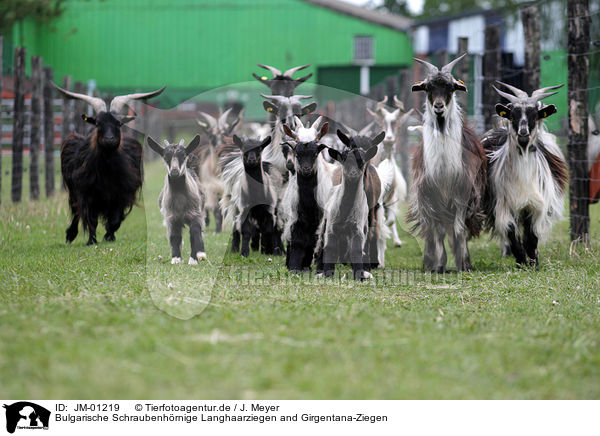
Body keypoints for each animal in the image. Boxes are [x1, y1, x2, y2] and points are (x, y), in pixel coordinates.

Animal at [52, 82, 165, 245]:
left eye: (119, 123)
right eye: (98, 123)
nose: (109, 139)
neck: (106, 169)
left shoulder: (122, 193)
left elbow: (115, 219)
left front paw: (109, 236)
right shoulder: (86, 193)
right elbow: (90, 218)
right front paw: (91, 240)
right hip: (73, 191)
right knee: (76, 211)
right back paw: (70, 234)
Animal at [146, 135, 207, 264]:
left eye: (183, 156)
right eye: (165, 157)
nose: (174, 172)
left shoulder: (196, 213)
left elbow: (195, 231)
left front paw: (199, 255)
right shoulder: (171, 217)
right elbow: (175, 236)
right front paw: (176, 258)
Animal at [282, 116, 332, 272]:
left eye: (315, 153)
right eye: (297, 154)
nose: (306, 169)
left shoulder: (321, 217)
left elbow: (317, 240)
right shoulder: (297, 216)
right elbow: (298, 240)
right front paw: (294, 266)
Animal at [314, 129, 384, 280]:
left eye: (362, 161)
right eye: (344, 159)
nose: (353, 174)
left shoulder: (357, 228)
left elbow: (357, 249)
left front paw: (360, 275)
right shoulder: (331, 227)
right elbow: (329, 248)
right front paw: (327, 273)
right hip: (326, 222)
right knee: (323, 244)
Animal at [408, 53, 488, 272]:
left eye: (451, 87)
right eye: (428, 87)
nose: (438, 107)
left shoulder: (462, 196)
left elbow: (459, 229)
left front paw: (464, 263)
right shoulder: (429, 196)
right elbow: (436, 231)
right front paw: (438, 264)